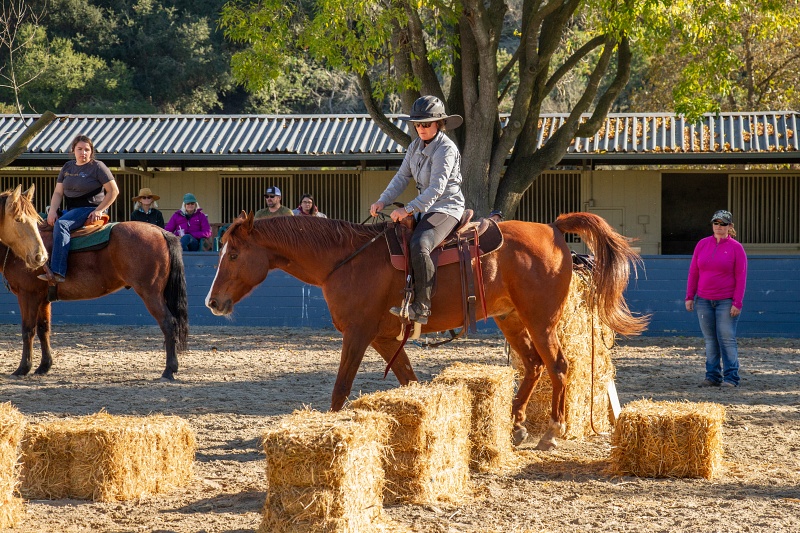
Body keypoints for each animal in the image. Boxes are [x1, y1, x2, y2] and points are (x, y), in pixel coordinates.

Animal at [1, 221, 188, 380]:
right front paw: (43, 367)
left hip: (151, 294)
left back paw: (169, 370)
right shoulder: (43, 299)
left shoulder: (28, 295)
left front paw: (22, 368)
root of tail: (160, 231)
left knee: (168, 323)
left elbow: (28, 331)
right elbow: (43, 330)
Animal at [205, 212, 647, 450]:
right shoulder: (385, 338)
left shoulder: (358, 334)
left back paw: (552, 431)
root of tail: (554, 230)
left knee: (558, 367)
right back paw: (517, 424)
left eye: (234, 253)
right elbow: (409, 381)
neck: (346, 260)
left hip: (541, 321)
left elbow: (341, 389)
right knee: (534, 366)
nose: (212, 302)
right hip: (510, 319)